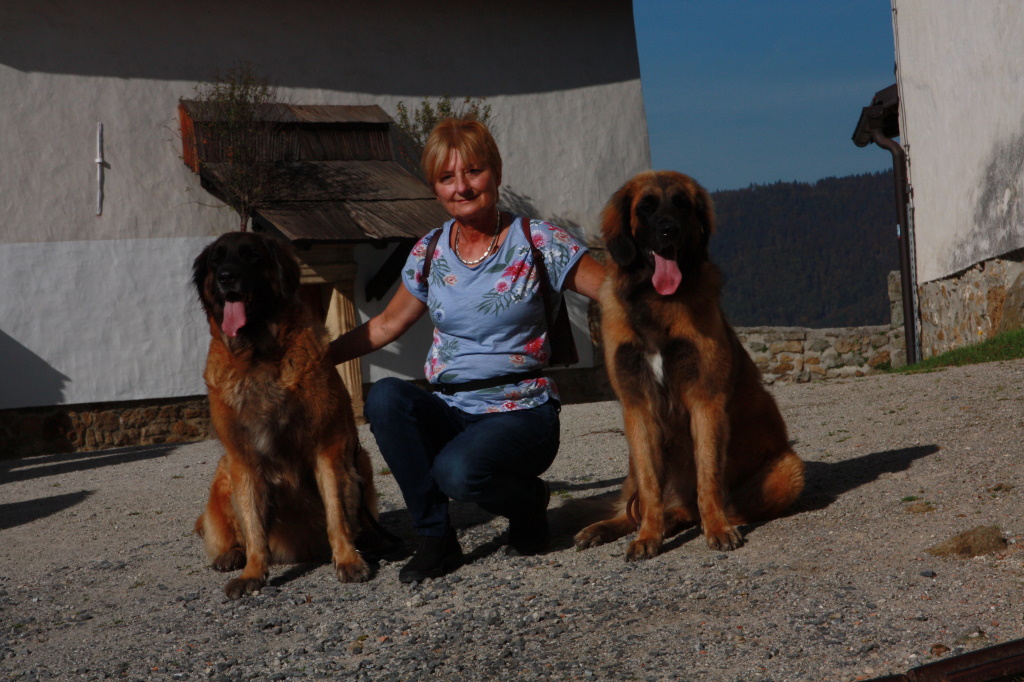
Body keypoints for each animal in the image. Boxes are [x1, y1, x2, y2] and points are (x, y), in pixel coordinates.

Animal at [190, 232, 385, 593]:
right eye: (216, 260)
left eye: (251, 256)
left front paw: (347, 559)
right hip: (223, 474)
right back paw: (231, 555)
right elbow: (253, 525)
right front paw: (253, 572)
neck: (258, 356)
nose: (226, 277)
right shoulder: (242, 459)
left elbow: (336, 512)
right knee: (232, 532)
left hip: (360, 459)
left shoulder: (329, 446)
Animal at [577, 169, 806, 557]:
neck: (657, 301)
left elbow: (708, 477)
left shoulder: (705, 401)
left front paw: (717, 528)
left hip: (788, 472)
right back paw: (607, 528)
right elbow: (650, 488)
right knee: (635, 506)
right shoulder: (637, 408)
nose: (669, 231)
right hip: (632, 459)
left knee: (699, 508)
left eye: (682, 205)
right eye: (647, 207)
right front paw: (647, 536)